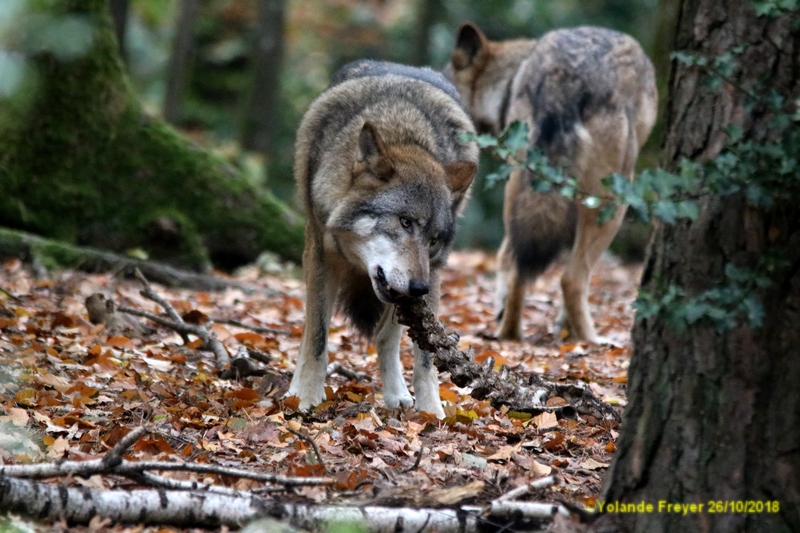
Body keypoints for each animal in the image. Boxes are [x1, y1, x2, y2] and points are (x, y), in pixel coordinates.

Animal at [286, 58, 476, 416]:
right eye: (404, 222)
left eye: (433, 240)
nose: (419, 288)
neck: (402, 130)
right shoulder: (320, 255)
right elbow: (316, 337)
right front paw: (304, 397)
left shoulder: (433, 272)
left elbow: (426, 357)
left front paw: (431, 412)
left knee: (385, 337)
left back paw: (397, 394)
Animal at [444, 22, 656, 340]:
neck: (508, 83)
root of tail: (563, 77)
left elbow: (503, 257)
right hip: (611, 203)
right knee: (572, 279)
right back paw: (594, 340)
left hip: (518, 188)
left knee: (518, 265)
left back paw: (509, 333)